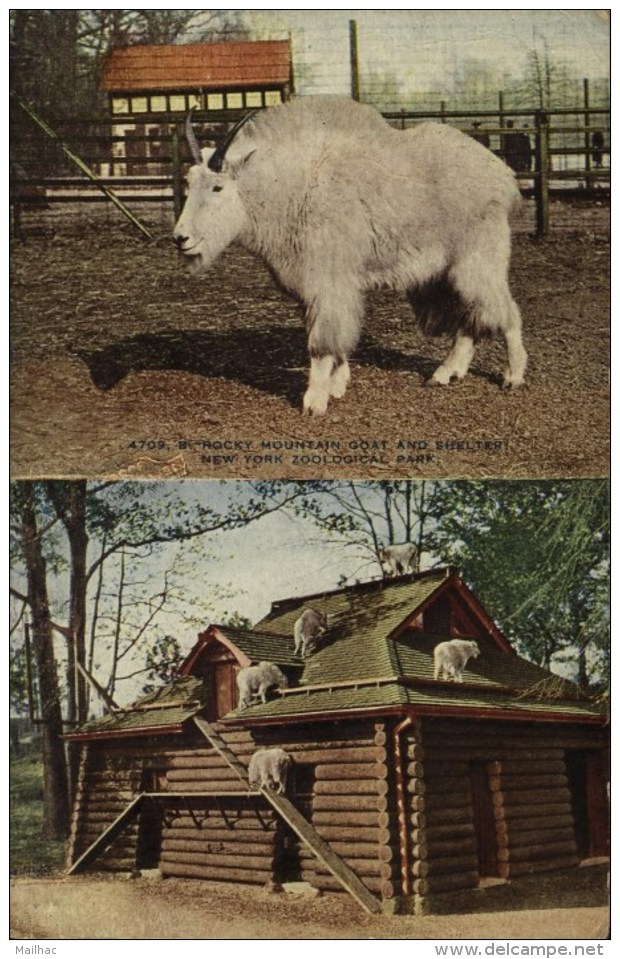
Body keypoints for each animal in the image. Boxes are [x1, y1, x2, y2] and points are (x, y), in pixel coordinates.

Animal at [174, 95, 528, 414]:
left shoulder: (329, 282)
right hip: (446, 273)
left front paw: (314, 402)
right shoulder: (320, 289)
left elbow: (322, 342)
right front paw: (338, 385)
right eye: (189, 183)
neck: (291, 187)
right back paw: (446, 373)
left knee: (506, 312)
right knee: (473, 318)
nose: (181, 238)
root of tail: (502, 176)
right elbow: (339, 339)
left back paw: (513, 376)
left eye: (218, 187)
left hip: (477, 261)